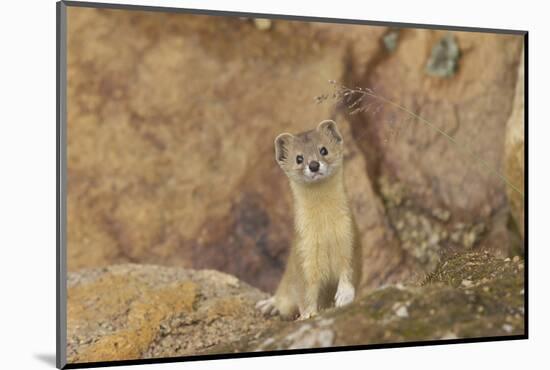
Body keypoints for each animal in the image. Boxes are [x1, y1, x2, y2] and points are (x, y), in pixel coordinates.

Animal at [258, 120, 362, 320]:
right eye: (299, 158)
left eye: (323, 150)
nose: (313, 165)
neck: (325, 229)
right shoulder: (304, 252)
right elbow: (306, 292)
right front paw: (307, 314)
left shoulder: (350, 236)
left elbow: (349, 271)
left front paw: (344, 296)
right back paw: (269, 305)